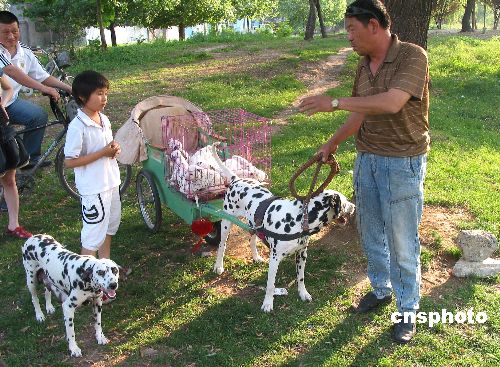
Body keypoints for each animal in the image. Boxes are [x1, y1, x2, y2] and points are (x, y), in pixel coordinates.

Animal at [210, 145, 356, 312]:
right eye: (345, 202)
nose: (354, 206)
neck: (298, 219)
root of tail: (236, 179)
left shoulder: (301, 254)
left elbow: (301, 277)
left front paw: (303, 293)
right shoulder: (274, 259)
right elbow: (270, 285)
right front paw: (268, 303)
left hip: (254, 225)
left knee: (251, 240)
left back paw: (256, 257)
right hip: (226, 223)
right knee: (222, 245)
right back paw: (218, 266)